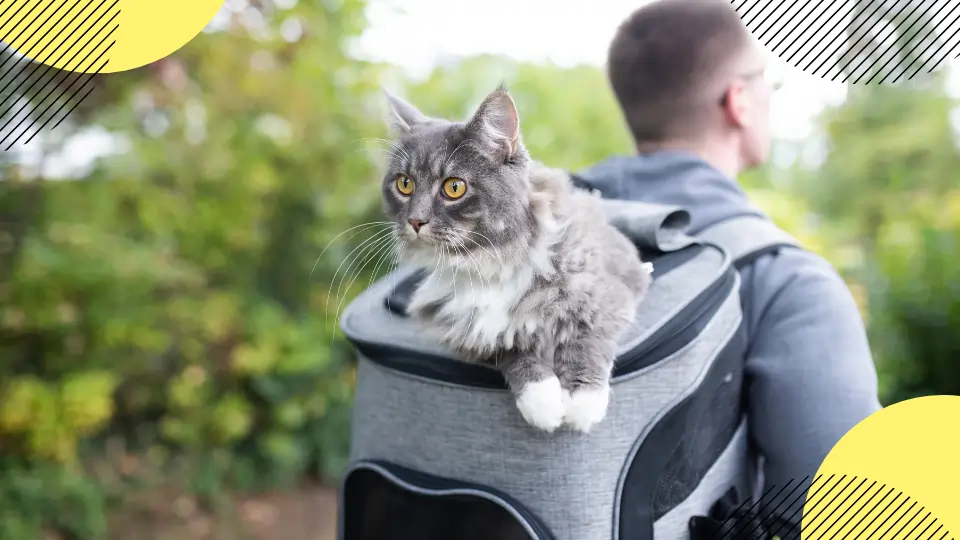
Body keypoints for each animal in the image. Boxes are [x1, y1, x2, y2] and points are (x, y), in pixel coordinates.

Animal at [376, 83, 652, 430]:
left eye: (454, 187)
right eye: (404, 184)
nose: (415, 221)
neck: (490, 262)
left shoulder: (610, 292)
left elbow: (586, 339)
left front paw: (581, 403)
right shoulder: (460, 328)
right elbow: (511, 348)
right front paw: (543, 403)